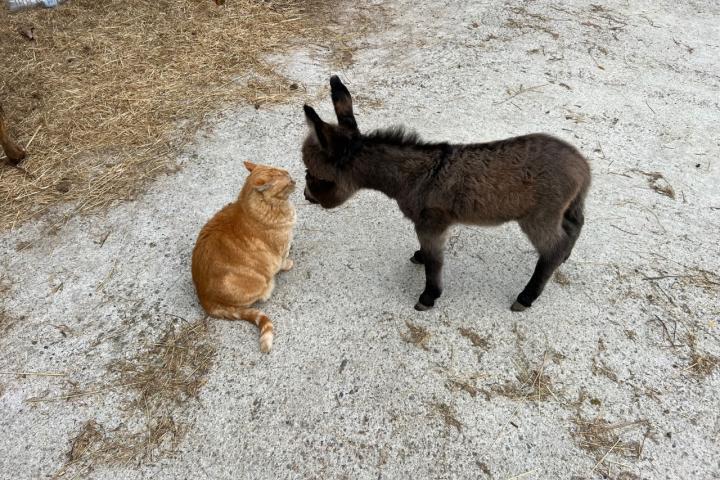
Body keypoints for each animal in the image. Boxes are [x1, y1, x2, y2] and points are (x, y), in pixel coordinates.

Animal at [193, 161, 296, 352]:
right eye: (287, 183)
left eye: (287, 173)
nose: (295, 180)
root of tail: (204, 298)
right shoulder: (280, 251)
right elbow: (283, 261)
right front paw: (288, 263)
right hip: (259, 282)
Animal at [302, 76, 592, 312]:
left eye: (313, 174)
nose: (306, 196)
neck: (411, 177)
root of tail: (582, 166)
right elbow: (428, 254)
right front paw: (419, 257)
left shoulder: (430, 224)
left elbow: (435, 262)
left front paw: (429, 296)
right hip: (564, 208)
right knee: (573, 228)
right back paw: (564, 258)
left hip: (537, 217)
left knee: (552, 248)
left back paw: (526, 296)